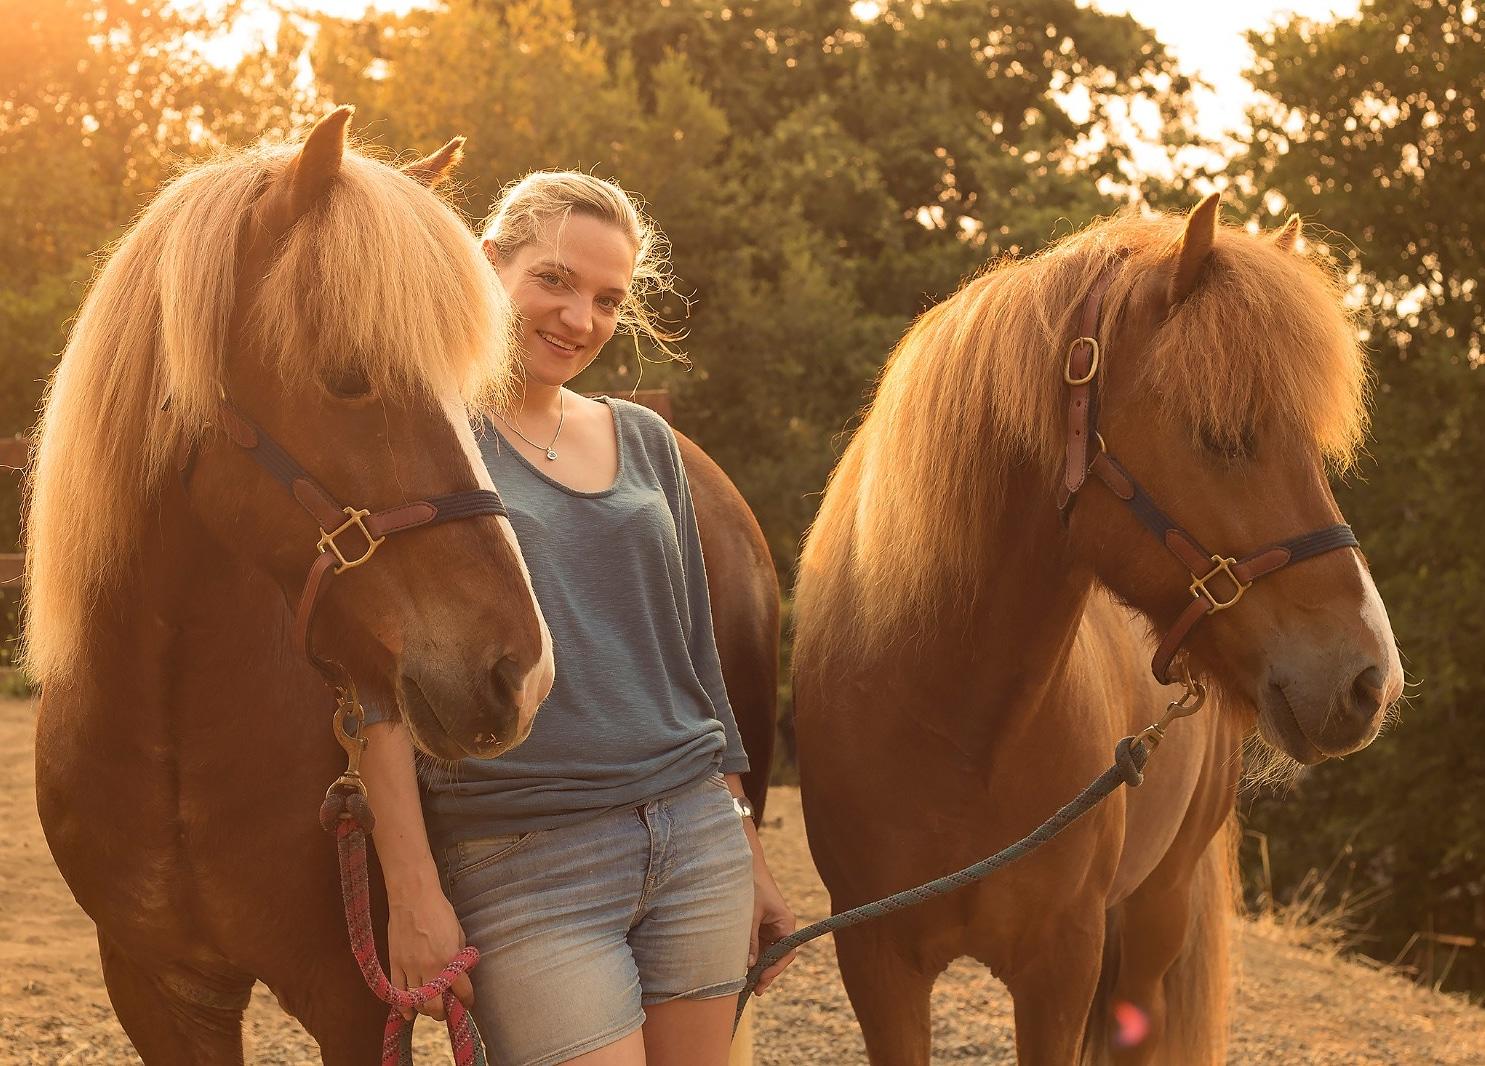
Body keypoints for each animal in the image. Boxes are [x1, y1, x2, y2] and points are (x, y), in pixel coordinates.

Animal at [795, 201, 1395, 1066]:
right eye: (1221, 433)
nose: (1368, 680)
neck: (950, 728)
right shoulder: (876, 964)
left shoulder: (1059, 971)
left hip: (1157, 909)